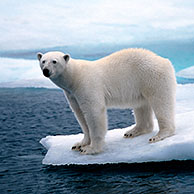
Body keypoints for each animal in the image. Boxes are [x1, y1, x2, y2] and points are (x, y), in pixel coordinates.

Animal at [37, 48, 177, 155]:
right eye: (43, 61)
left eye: (54, 61)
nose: (46, 70)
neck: (75, 78)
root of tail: (165, 60)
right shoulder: (72, 95)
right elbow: (80, 115)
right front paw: (79, 144)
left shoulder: (88, 86)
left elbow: (93, 113)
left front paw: (90, 149)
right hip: (140, 86)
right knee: (141, 106)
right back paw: (133, 131)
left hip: (152, 77)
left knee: (161, 103)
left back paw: (159, 135)